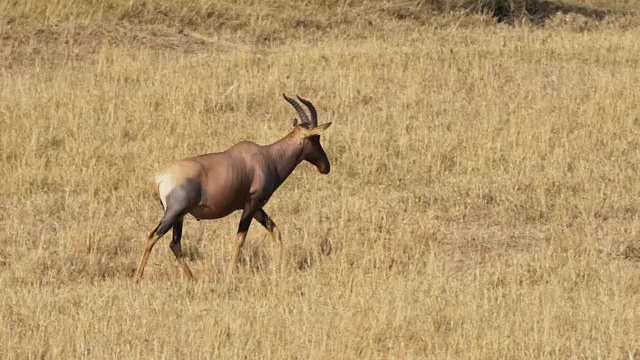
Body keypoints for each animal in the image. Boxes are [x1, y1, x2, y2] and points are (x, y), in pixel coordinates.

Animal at [136, 94, 336, 280]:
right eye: (316, 138)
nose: (325, 167)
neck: (267, 156)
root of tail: (161, 178)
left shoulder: (256, 207)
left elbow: (275, 231)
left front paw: (279, 266)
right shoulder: (251, 204)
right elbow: (240, 238)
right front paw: (230, 273)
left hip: (180, 216)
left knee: (175, 243)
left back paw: (192, 278)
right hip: (174, 213)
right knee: (152, 236)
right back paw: (138, 276)